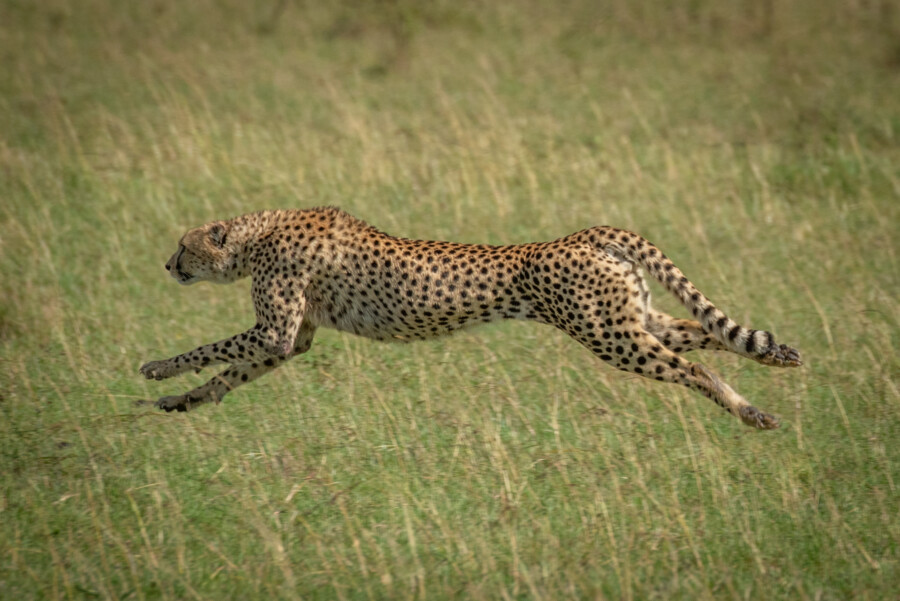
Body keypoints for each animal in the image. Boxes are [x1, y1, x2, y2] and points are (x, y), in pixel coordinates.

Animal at [141, 206, 800, 426]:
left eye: (183, 245)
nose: (168, 264)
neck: (256, 234)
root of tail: (586, 233)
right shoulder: (293, 341)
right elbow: (231, 373)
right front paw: (181, 401)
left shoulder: (277, 331)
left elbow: (213, 349)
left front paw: (158, 369)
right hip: (630, 320)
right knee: (703, 333)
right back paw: (776, 358)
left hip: (609, 335)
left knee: (694, 368)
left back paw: (751, 413)